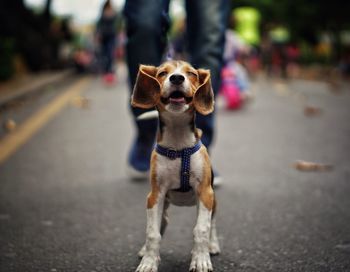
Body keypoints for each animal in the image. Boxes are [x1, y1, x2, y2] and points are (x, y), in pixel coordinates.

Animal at [133, 60, 220, 272]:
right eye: (162, 73)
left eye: (192, 74)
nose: (177, 78)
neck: (179, 144)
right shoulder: (155, 195)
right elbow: (153, 233)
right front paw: (148, 262)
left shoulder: (206, 193)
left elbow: (201, 230)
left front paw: (201, 259)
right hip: (162, 206)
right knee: (161, 225)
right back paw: (145, 250)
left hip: (212, 201)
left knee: (212, 225)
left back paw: (213, 245)